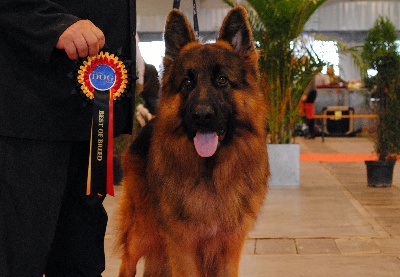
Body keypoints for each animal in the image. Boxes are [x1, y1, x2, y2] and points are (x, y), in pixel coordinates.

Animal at [117, 6, 270, 276]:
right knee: (127, 262)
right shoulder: (182, 246)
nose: (202, 116)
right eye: (187, 82)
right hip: (145, 229)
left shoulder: (228, 248)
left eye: (222, 80)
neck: (210, 173)